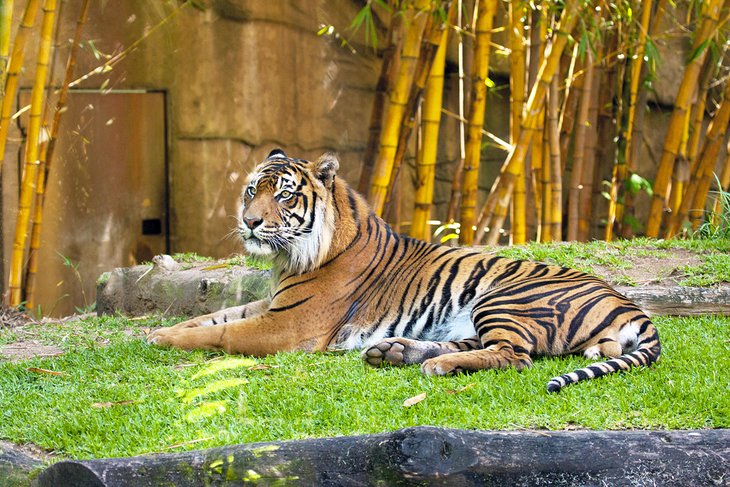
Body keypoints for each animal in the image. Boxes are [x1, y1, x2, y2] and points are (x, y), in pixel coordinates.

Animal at [148, 149, 660, 392]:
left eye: (285, 195)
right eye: (253, 190)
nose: (250, 222)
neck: (291, 256)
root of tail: (628, 303)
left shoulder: (288, 324)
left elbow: (223, 334)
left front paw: (163, 340)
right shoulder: (273, 305)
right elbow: (213, 316)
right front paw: (161, 332)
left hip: (502, 298)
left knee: (515, 356)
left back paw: (434, 364)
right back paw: (394, 352)